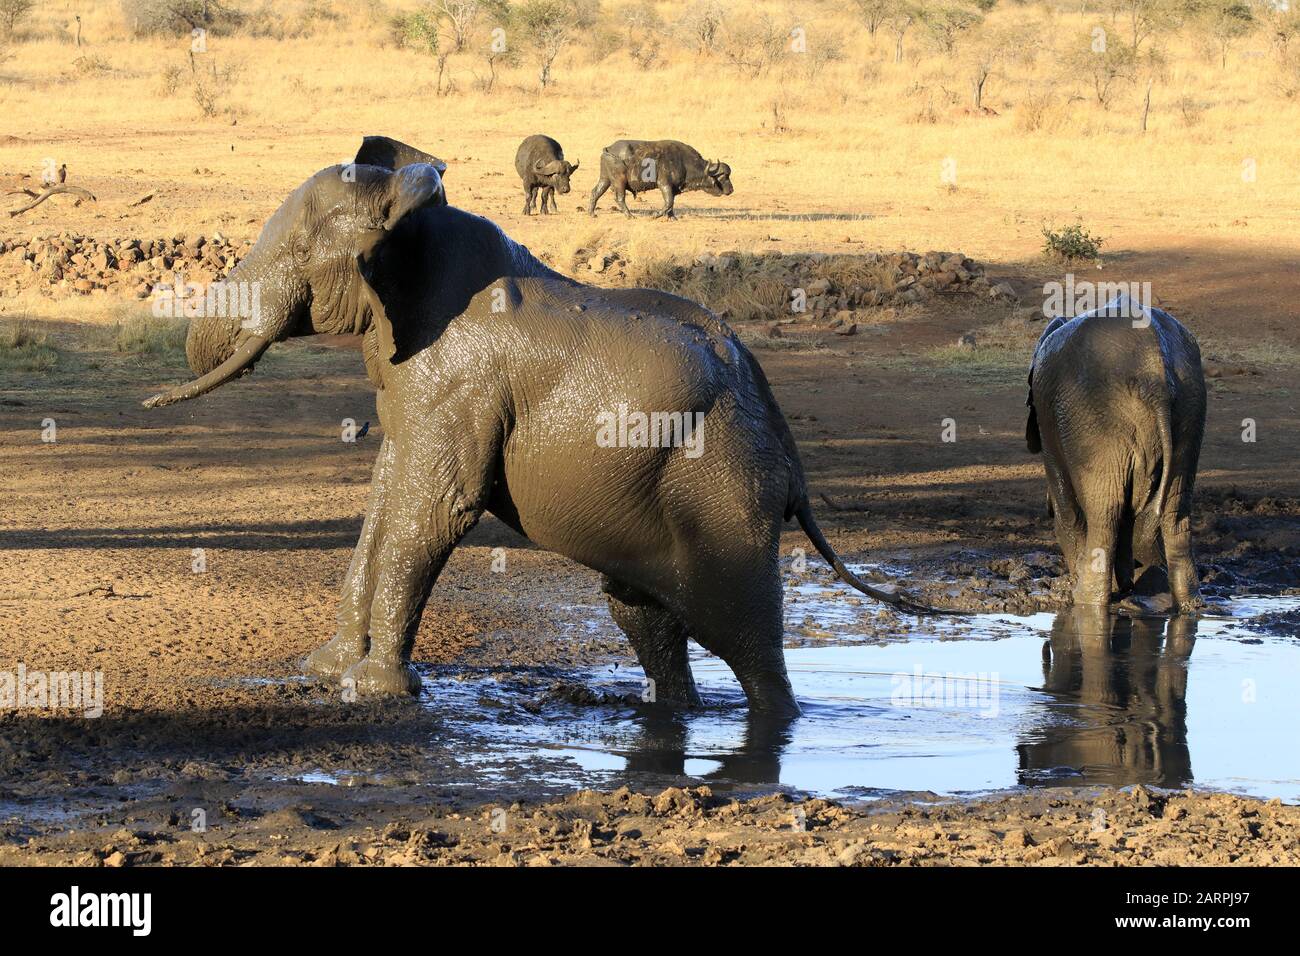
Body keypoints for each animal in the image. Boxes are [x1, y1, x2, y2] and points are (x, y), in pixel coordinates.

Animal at [144, 134, 915, 717]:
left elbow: (435, 511)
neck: (413, 227)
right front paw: (326, 672)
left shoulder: (460, 382)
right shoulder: (418, 386)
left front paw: (377, 691)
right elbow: (385, 502)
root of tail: (793, 462)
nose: (150, 403)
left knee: (745, 635)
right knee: (642, 616)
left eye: (301, 251)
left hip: (727, 484)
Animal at [1024, 300, 1206, 613]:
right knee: (1174, 508)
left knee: (1105, 512)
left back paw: (1087, 599)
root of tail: (1156, 376)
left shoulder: (1049, 421)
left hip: (1095, 422)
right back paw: (1188, 605)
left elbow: (1067, 508)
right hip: (1190, 407)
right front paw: (1127, 586)